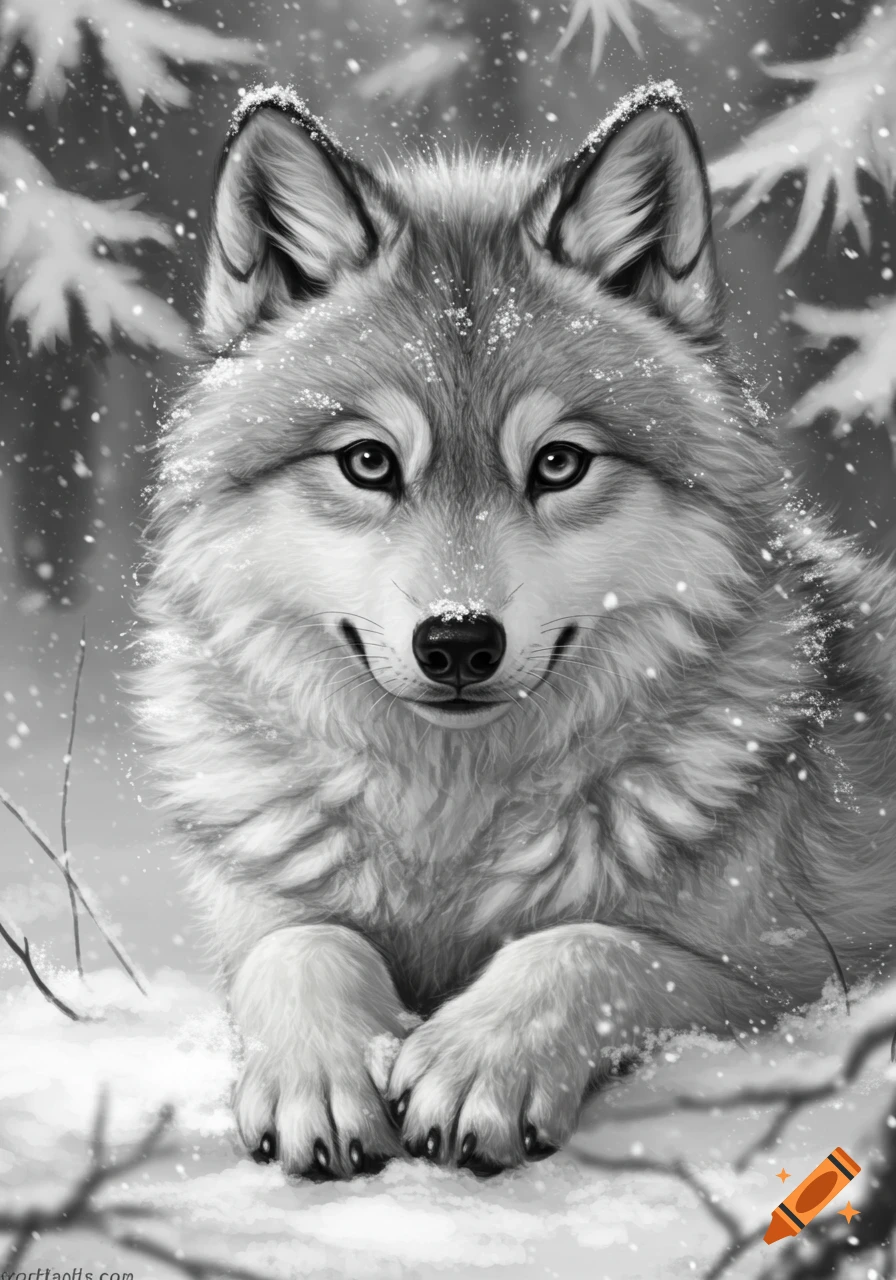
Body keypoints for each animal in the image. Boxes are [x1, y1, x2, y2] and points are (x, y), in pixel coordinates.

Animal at [137, 78, 896, 1180]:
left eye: (558, 463)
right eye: (368, 461)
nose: (458, 641)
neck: (450, 819)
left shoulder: (795, 976)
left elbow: (584, 945)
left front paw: (474, 1062)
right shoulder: (259, 917)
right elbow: (305, 945)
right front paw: (325, 1075)